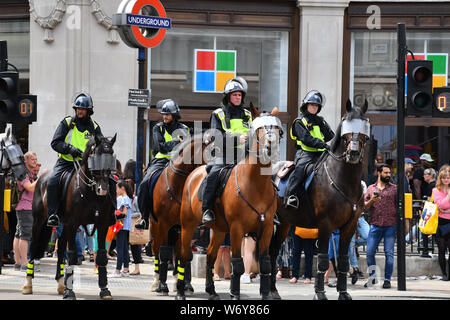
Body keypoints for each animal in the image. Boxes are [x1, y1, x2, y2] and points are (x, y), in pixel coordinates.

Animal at [22, 134, 118, 298]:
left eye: (111, 155)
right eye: (95, 155)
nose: (103, 189)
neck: (90, 192)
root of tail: (40, 178)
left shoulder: (102, 224)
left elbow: (101, 255)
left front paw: (104, 289)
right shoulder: (73, 223)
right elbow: (72, 255)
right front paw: (70, 291)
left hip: (63, 225)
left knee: (60, 248)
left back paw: (61, 283)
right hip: (39, 221)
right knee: (33, 246)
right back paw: (28, 284)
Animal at [147, 133, 207, 296]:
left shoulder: (185, 226)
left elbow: (184, 254)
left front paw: (184, 284)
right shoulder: (163, 224)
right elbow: (164, 253)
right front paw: (162, 286)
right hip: (155, 227)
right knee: (157, 250)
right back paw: (156, 282)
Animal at [173, 107, 282, 300]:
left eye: (276, 128)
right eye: (260, 129)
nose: (271, 147)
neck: (257, 185)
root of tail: (194, 173)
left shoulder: (267, 228)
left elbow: (265, 264)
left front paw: (265, 294)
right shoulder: (237, 229)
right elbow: (237, 265)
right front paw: (235, 294)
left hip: (219, 230)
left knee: (210, 256)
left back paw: (211, 291)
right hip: (188, 225)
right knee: (183, 254)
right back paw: (180, 291)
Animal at [270, 100, 370, 300]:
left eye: (363, 128)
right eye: (346, 128)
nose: (353, 153)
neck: (344, 181)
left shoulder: (349, 227)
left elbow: (344, 261)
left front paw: (343, 293)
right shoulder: (325, 225)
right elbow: (323, 261)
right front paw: (320, 293)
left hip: (284, 223)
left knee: (273, 251)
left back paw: (273, 290)